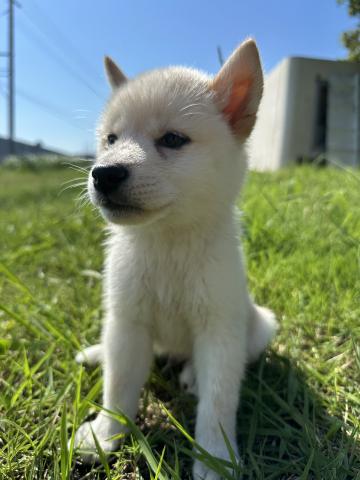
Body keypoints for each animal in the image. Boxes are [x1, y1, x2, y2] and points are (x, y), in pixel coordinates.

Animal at [74, 39, 278, 478]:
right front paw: (105, 433)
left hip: (260, 325)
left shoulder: (219, 328)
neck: (166, 242)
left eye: (172, 139)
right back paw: (98, 353)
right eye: (111, 138)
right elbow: (118, 386)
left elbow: (219, 402)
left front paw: (215, 458)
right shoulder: (128, 321)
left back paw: (193, 375)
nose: (103, 174)